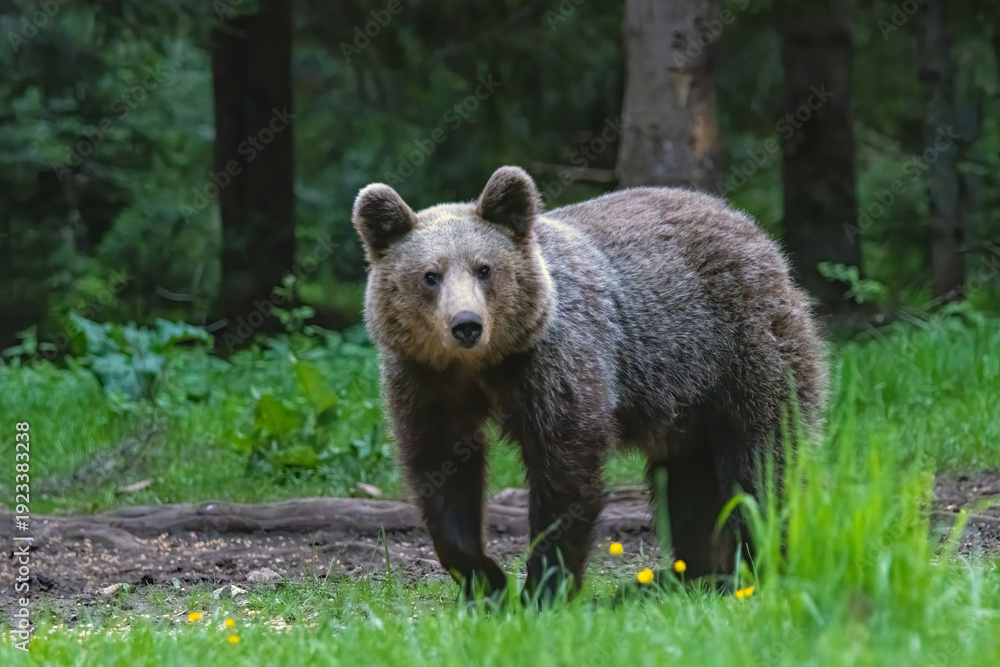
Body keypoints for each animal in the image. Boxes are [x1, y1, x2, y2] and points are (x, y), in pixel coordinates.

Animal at [352, 165, 827, 601]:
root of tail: (751, 228)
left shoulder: (556, 366)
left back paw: (755, 568)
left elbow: (565, 473)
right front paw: (486, 582)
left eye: (484, 269)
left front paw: (543, 589)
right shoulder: (427, 383)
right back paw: (687, 577)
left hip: (743, 353)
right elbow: (442, 473)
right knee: (687, 480)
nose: (466, 325)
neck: (483, 367)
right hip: (686, 399)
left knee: (761, 464)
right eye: (430, 275)